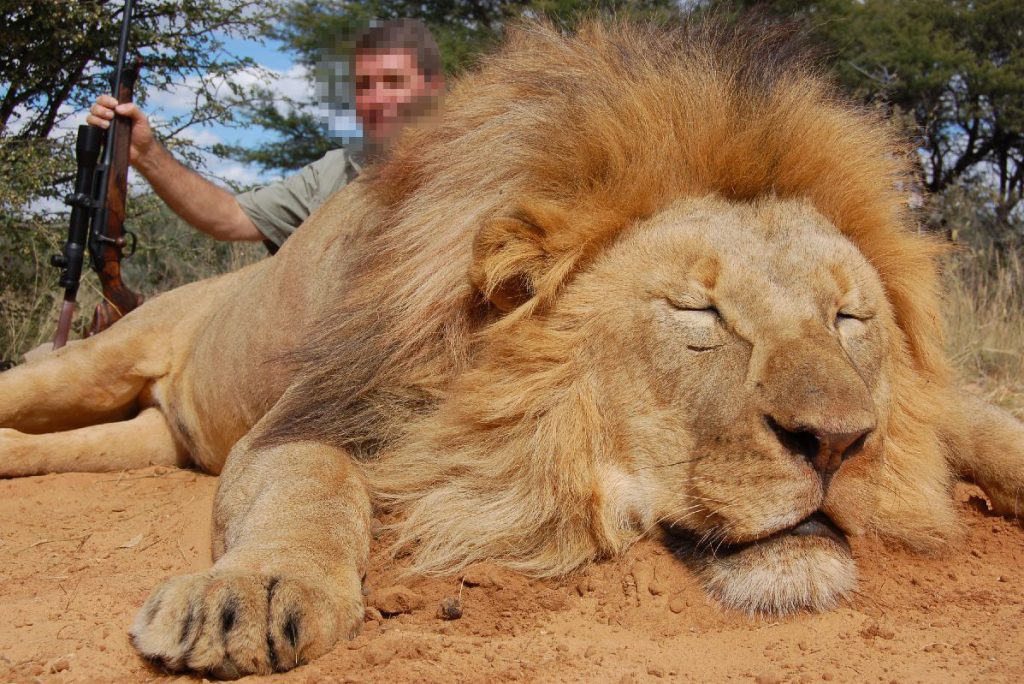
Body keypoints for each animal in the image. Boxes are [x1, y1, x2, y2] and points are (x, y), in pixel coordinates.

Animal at [0, 18, 1019, 675]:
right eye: (699, 313)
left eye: (850, 320)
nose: (838, 444)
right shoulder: (315, 414)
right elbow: (310, 484)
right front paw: (248, 594)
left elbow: (979, 421)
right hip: (94, 362)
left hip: (138, 437)